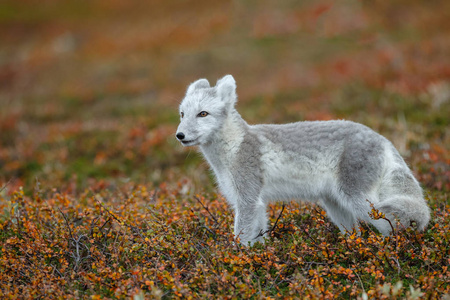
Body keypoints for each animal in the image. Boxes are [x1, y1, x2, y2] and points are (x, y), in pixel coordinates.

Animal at [175, 75, 428, 246]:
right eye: (182, 114)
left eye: (203, 114)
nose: (179, 135)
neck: (233, 147)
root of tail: (382, 138)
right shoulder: (257, 202)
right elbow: (259, 237)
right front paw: (259, 259)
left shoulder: (247, 199)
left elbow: (242, 238)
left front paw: (236, 261)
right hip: (335, 205)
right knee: (355, 232)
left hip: (359, 200)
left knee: (390, 225)